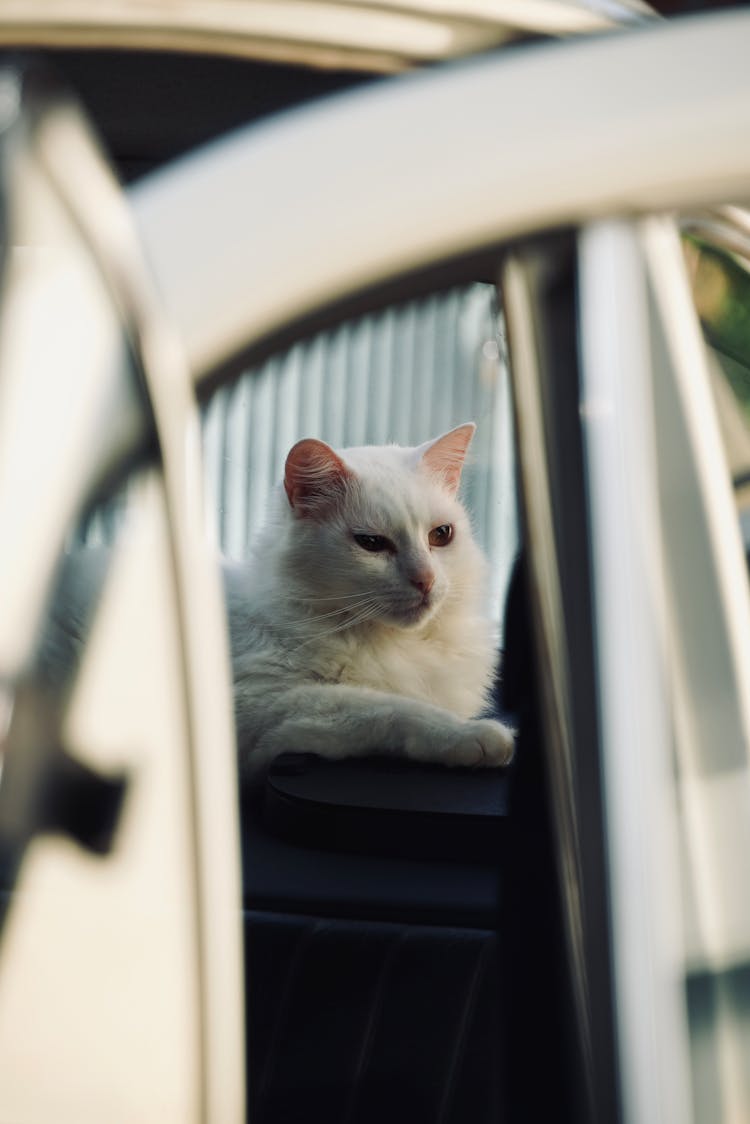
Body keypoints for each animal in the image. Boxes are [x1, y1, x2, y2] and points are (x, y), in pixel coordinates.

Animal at [226, 422, 512, 782]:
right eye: (372, 543)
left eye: (441, 535)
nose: (426, 580)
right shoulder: (267, 704)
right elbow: (392, 709)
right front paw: (474, 735)